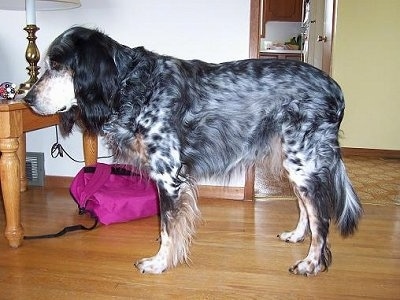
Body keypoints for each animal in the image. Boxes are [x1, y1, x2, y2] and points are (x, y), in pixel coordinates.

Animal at [25, 27, 362, 276]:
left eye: (58, 66)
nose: (26, 98)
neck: (135, 86)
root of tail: (336, 90)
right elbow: (168, 227)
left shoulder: (168, 177)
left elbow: (167, 227)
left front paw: (159, 263)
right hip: (295, 163)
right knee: (307, 209)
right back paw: (296, 236)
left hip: (302, 162)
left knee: (321, 218)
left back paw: (312, 263)